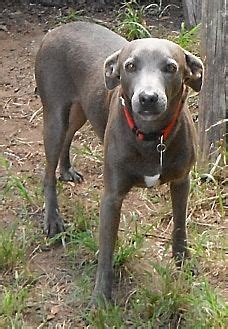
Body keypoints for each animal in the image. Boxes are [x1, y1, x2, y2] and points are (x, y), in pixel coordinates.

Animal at [35, 21, 203, 302]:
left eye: (171, 67)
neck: (151, 135)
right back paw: (53, 219)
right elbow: (107, 250)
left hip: (82, 109)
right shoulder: (112, 197)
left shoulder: (181, 181)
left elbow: (180, 226)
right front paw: (101, 296)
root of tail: (57, 29)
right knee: (48, 171)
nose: (148, 98)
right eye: (130, 66)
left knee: (69, 137)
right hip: (54, 116)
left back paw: (66, 169)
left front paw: (183, 263)